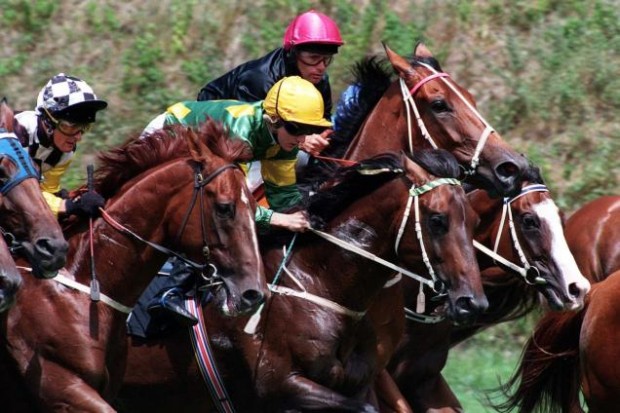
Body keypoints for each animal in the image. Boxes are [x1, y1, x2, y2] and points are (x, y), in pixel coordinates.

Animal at [115, 150, 490, 410]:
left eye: (474, 220)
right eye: (438, 220)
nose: (472, 302)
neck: (320, 279)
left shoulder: (359, 382)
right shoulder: (282, 384)